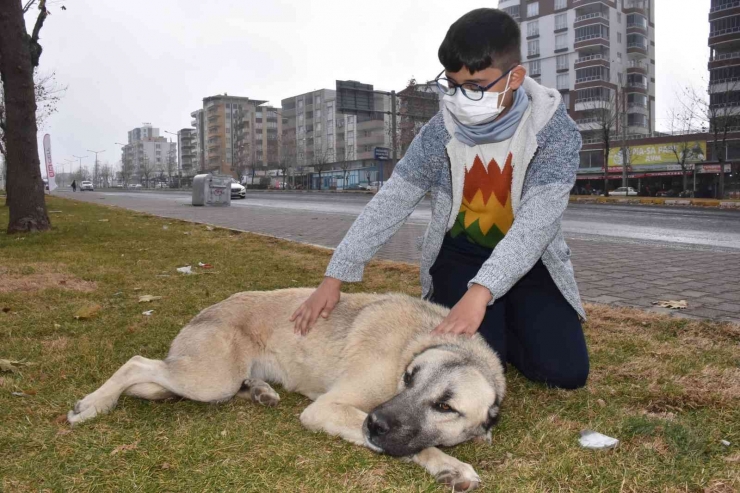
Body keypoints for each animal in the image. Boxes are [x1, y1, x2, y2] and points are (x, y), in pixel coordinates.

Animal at [69, 288, 506, 488]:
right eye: (410, 378)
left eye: (445, 407)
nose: (374, 425)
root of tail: (204, 312)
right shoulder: (328, 409)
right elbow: (419, 446)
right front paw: (449, 464)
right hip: (210, 379)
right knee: (137, 364)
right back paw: (94, 403)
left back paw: (261, 391)